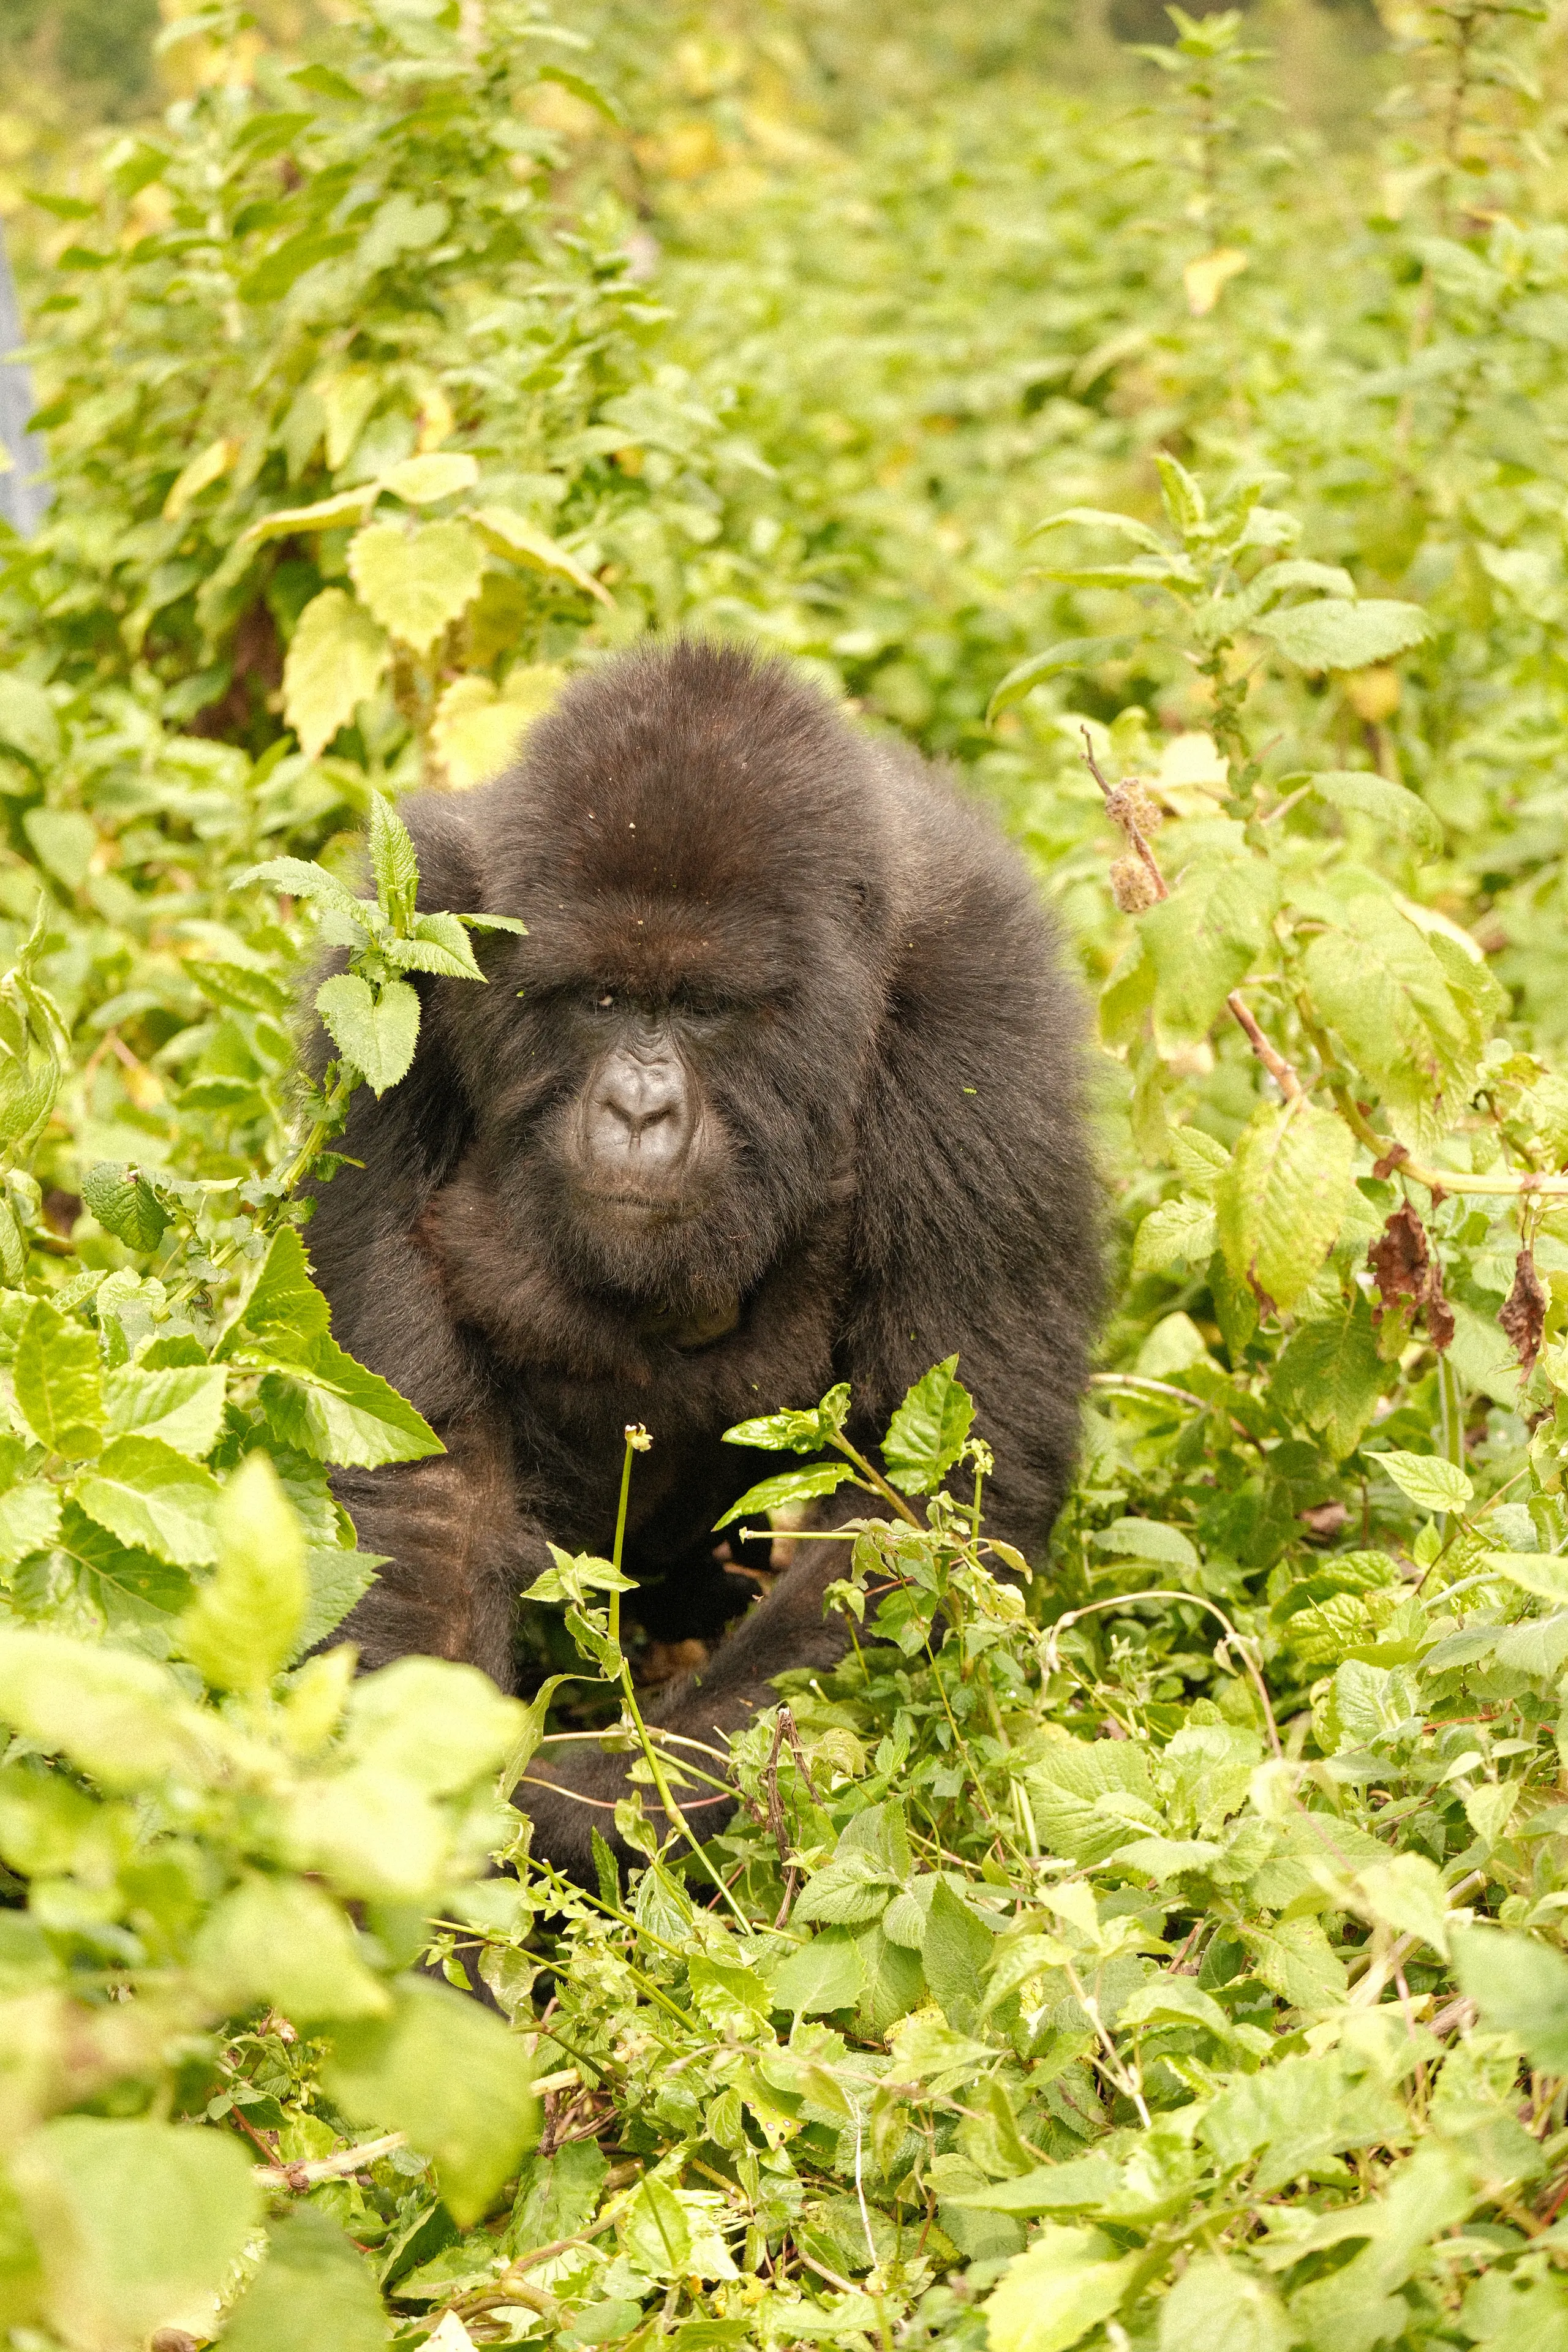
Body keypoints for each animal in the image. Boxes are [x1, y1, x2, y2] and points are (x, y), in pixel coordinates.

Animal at [303, 639, 1099, 1878]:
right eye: (604, 999)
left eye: (708, 1008)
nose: (637, 1110)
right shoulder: (404, 972)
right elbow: (424, 1483)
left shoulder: (983, 1014)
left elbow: (925, 1519)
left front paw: (573, 1813)